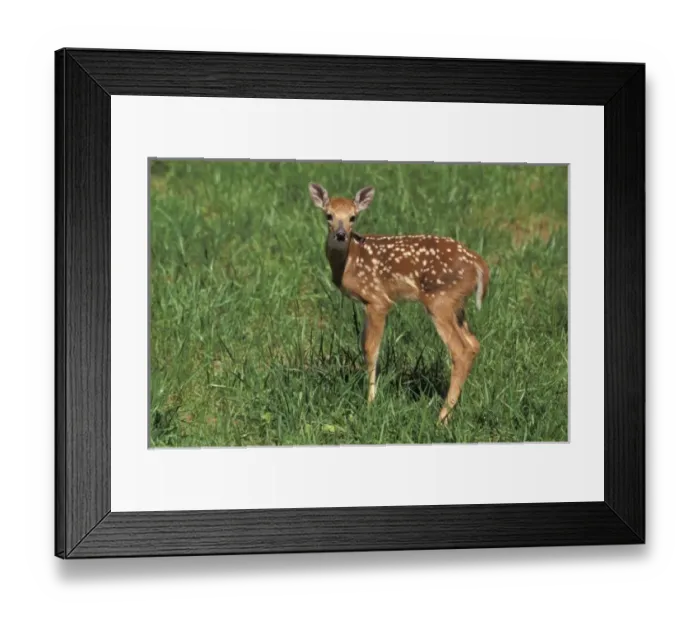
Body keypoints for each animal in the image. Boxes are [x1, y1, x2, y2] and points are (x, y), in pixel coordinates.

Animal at [308, 183, 490, 424]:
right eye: (328, 215)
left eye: (353, 217)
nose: (340, 235)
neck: (350, 262)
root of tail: (479, 263)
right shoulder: (368, 303)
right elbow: (364, 345)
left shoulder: (377, 299)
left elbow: (371, 349)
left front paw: (370, 402)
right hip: (457, 305)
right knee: (473, 343)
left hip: (439, 300)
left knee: (460, 349)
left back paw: (441, 417)